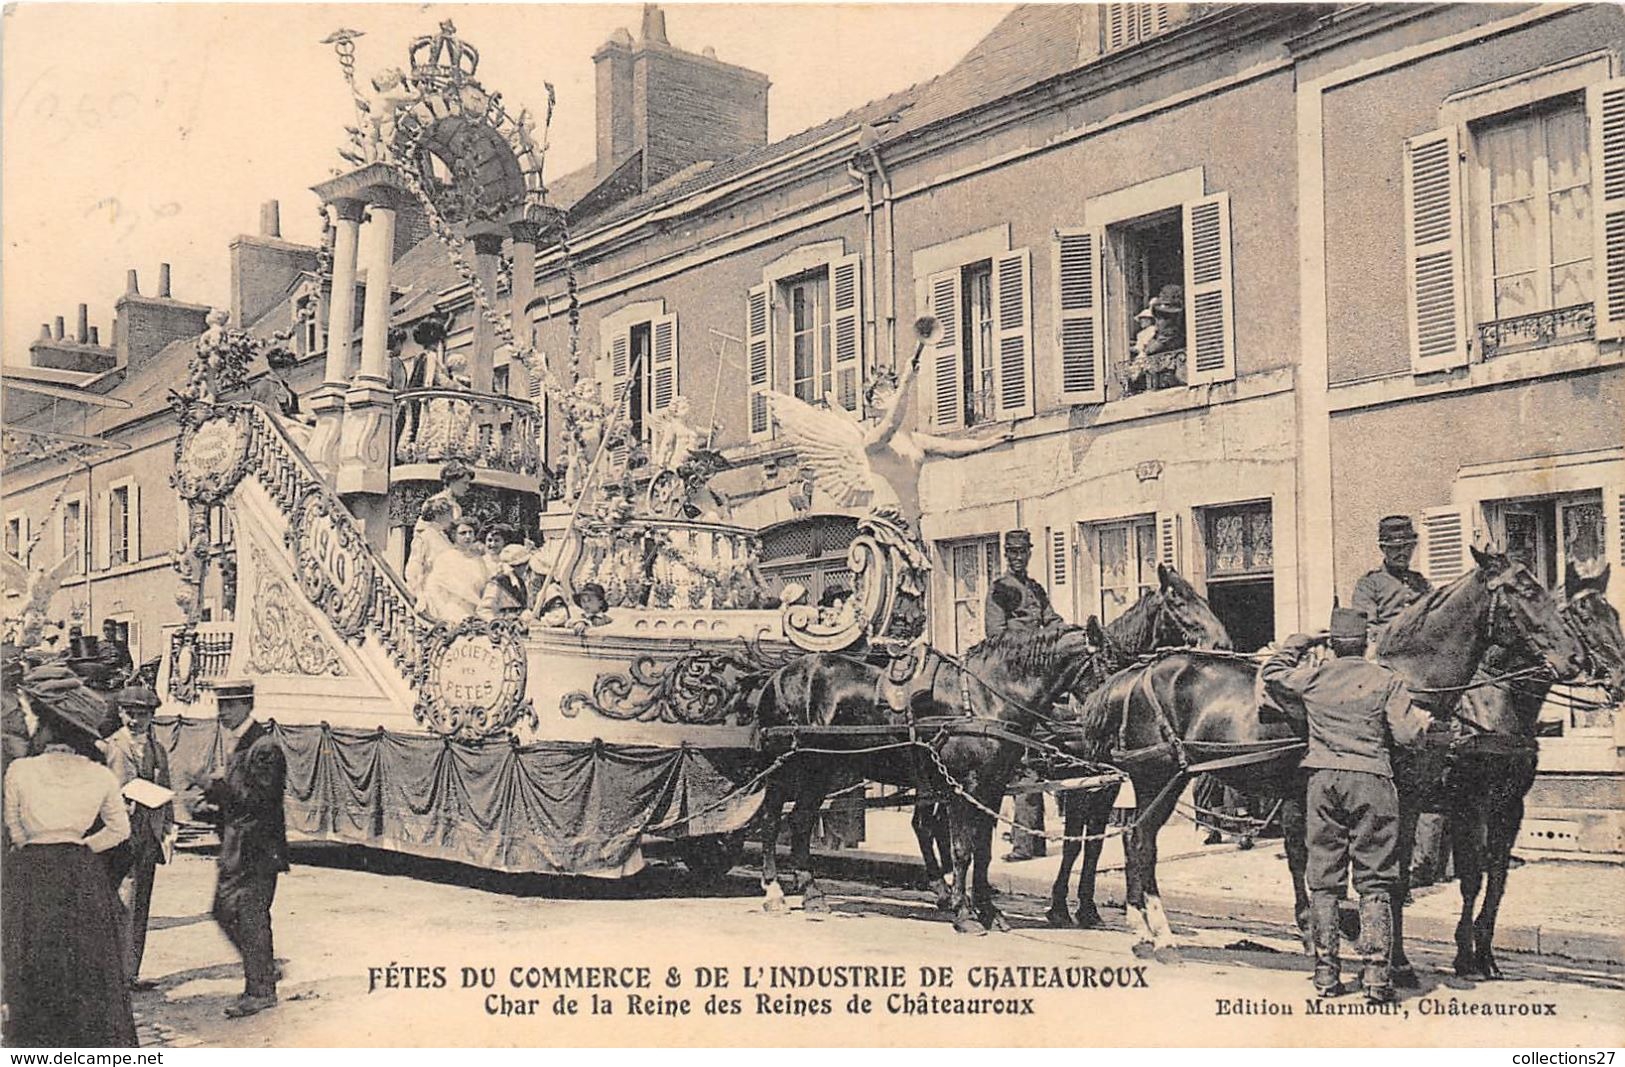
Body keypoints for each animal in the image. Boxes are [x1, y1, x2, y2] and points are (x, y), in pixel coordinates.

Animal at [1046, 561, 1235, 928]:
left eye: (1201, 597)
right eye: (1176, 599)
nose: (1222, 643)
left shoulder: (1105, 784)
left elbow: (1094, 844)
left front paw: (1087, 908)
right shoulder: (1077, 784)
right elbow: (1073, 843)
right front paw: (1059, 907)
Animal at [1066, 545, 1586, 961]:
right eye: (1522, 590)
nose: (1575, 659)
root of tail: (1139, 672)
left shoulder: (1419, 801)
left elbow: (1407, 878)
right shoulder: (1423, 802)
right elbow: (1400, 878)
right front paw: (1396, 958)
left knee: (1139, 841)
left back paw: (1149, 930)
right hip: (1157, 779)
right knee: (1138, 841)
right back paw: (1154, 932)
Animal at [1430, 561, 1618, 980]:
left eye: (1614, 615)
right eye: (1585, 617)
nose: (1620, 679)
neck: (1497, 703)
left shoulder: (1510, 806)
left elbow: (1498, 877)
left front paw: (1485, 955)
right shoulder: (1469, 806)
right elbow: (1473, 877)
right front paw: (1464, 955)